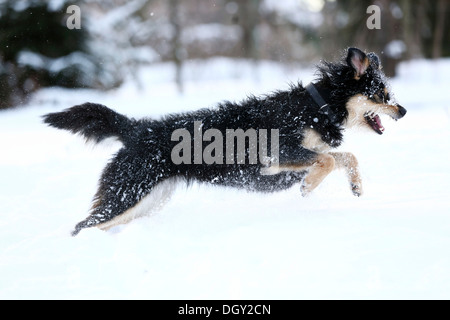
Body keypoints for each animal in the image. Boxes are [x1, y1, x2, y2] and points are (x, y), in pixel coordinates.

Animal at [43, 47, 408, 235]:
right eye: (381, 94)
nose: (403, 110)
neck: (317, 107)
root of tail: (136, 128)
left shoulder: (303, 154)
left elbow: (346, 156)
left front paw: (356, 186)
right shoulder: (278, 154)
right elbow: (330, 158)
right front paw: (309, 186)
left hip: (147, 199)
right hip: (126, 195)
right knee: (83, 225)